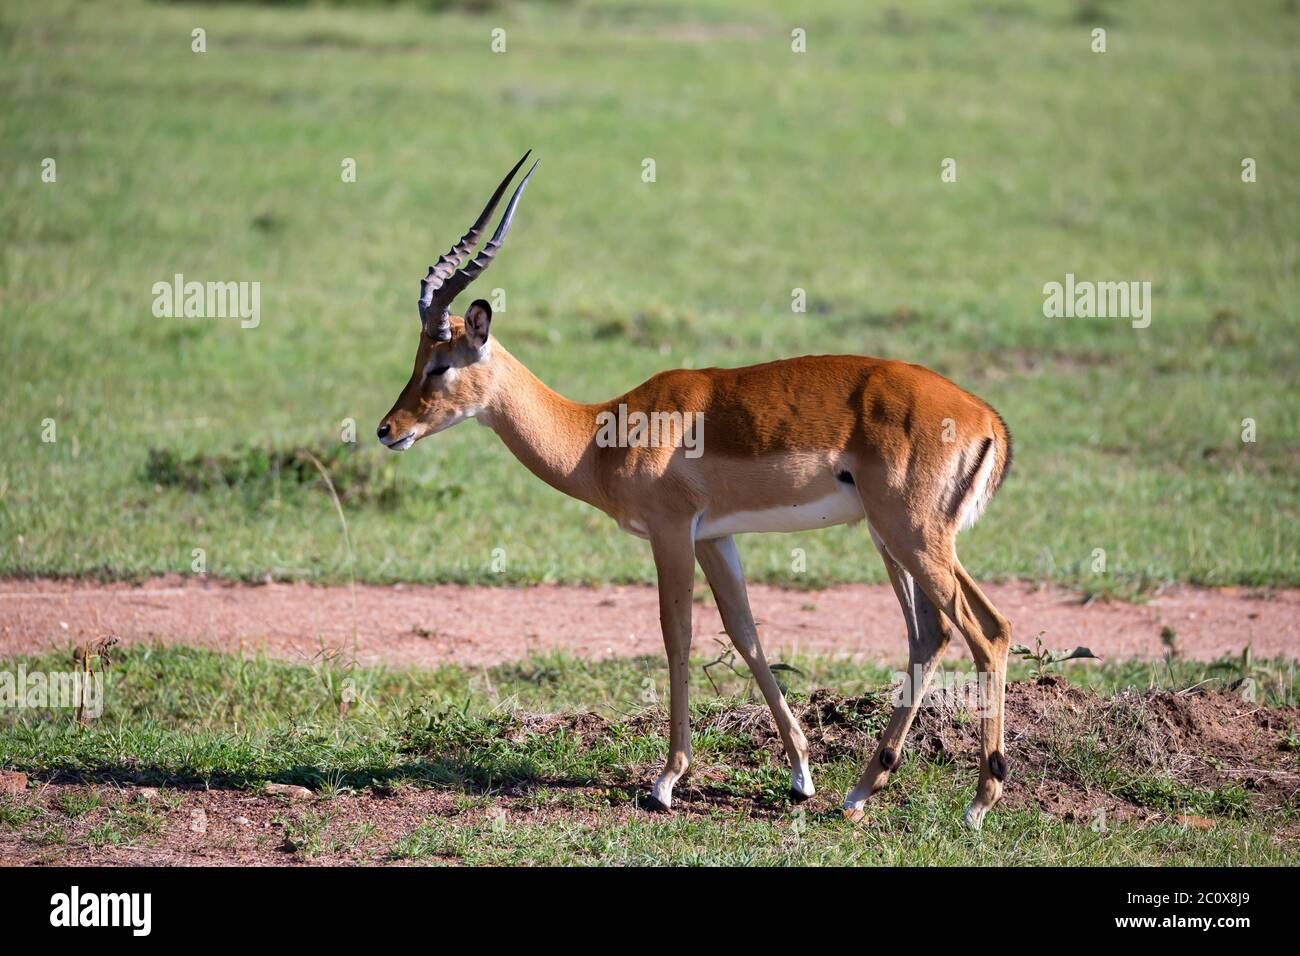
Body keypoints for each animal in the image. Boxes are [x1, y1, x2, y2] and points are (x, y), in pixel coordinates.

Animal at [377, 154, 1015, 828]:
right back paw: (860, 792)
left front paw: (666, 781)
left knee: (986, 631)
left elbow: (675, 634)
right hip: (899, 539)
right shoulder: (716, 536)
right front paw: (800, 774)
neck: (598, 434)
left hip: (911, 535)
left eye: (440, 364)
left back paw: (978, 802)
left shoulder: (671, 532)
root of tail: (987, 419)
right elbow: (746, 633)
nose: (387, 429)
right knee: (936, 633)